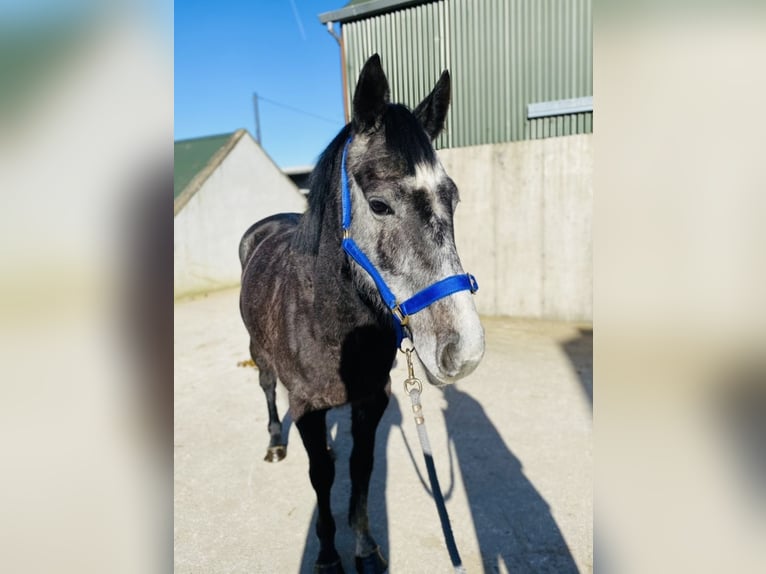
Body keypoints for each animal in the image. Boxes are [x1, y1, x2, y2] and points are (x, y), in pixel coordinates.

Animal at [240, 55, 486, 574]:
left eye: (452, 199)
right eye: (379, 205)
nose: (465, 350)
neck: (325, 318)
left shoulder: (372, 401)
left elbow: (359, 469)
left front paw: (365, 548)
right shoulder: (307, 406)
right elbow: (320, 476)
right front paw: (328, 555)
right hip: (258, 352)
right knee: (268, 388)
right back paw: (274, 443)